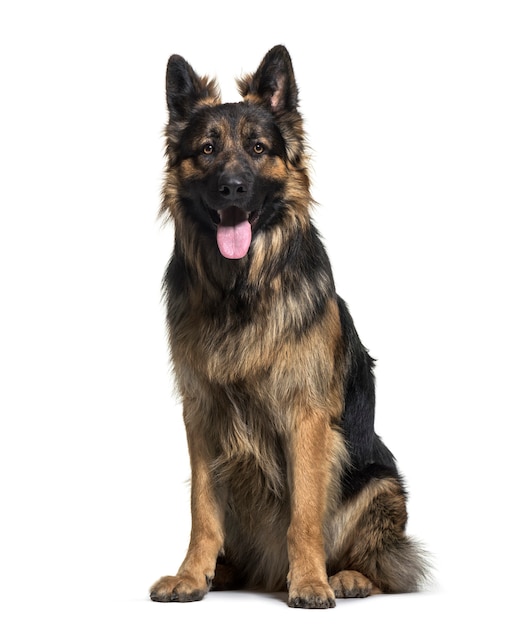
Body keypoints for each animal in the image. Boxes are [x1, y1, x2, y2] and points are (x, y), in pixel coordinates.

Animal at [148, 46, 430, 608]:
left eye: (258, 148)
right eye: (207, 149)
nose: (233, 189)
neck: (242, 290)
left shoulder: (306, 418)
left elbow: (304, 513)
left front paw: (310, 583)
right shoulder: (201, 413)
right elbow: (201, 510)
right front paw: (191, 576)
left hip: (379, 483)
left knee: (386, 565)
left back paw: (345, 577)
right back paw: (223, 572)